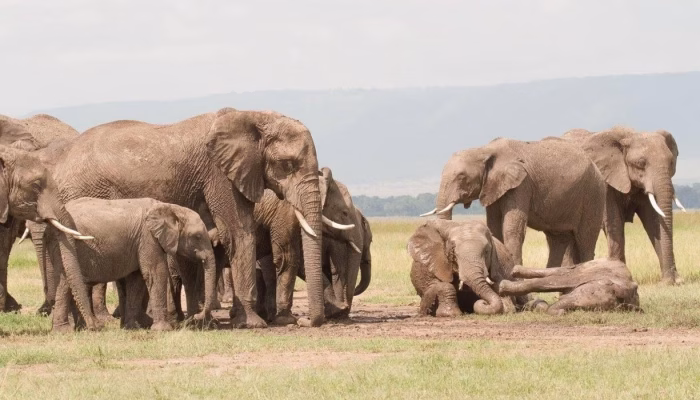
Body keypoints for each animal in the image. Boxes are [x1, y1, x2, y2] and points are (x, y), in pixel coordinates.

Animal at [49, 197, 217, 332]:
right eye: (197, 236)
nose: (196, 316)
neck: (171, 208)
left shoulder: (139, 243)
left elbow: (136, 280)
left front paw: (131, 327)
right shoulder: (148, 238)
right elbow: (156, 273)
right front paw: (162, 330)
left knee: (64, 284)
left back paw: (66, 330)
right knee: (69, 283)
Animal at [424, 137, 606, 268]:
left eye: (461, 176)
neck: (485, 150)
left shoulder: (521, 184)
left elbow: (512, 228)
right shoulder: (493, 186)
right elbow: (494, 226)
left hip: (593, 194)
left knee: (585, 239)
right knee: (558, 239)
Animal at [498, 258, 641, 315]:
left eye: (589, 309)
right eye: (592, 292)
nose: (562, 313)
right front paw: (502, 287)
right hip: (591, 266)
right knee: (565, 271)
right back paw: (514, 272)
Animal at [562, 127, 682, 284]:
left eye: (671, 162)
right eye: (640, 163)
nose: (669, 281)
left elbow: (654, 223)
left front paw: (674, 281)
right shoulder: (605, 181)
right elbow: (614, 222)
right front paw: (621, 278)